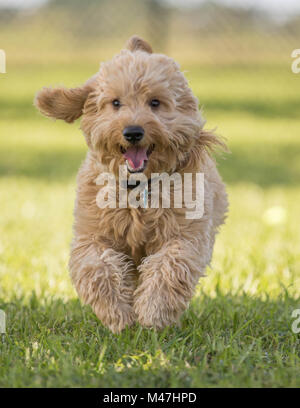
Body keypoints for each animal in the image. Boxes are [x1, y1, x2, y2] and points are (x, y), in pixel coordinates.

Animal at [35, 36, 227, 334]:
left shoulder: (186, 236)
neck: (138, 188)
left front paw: (153, 313)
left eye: (155, 102)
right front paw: (118, 315)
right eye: (115, 103)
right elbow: (97, 269)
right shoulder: (92, 235)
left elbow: (170, 266)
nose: (133, 132)